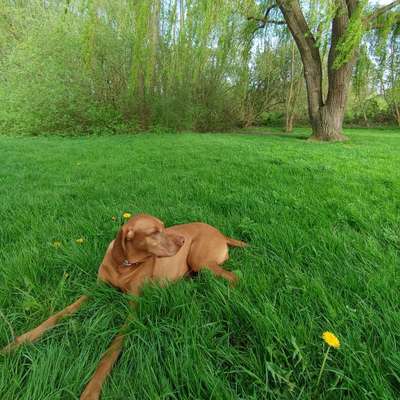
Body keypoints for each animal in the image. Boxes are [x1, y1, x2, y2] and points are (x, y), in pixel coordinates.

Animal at [2, 216, 247, 400]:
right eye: (154, 232)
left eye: (164, 227)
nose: (182, 240)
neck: (124, 265)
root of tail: (220, 233)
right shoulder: (95, 290)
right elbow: (57, 316)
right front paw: (18, 342)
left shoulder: (133, 310)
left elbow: (109, 353)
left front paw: (91, 391)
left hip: (200, 260)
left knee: (235, 278)